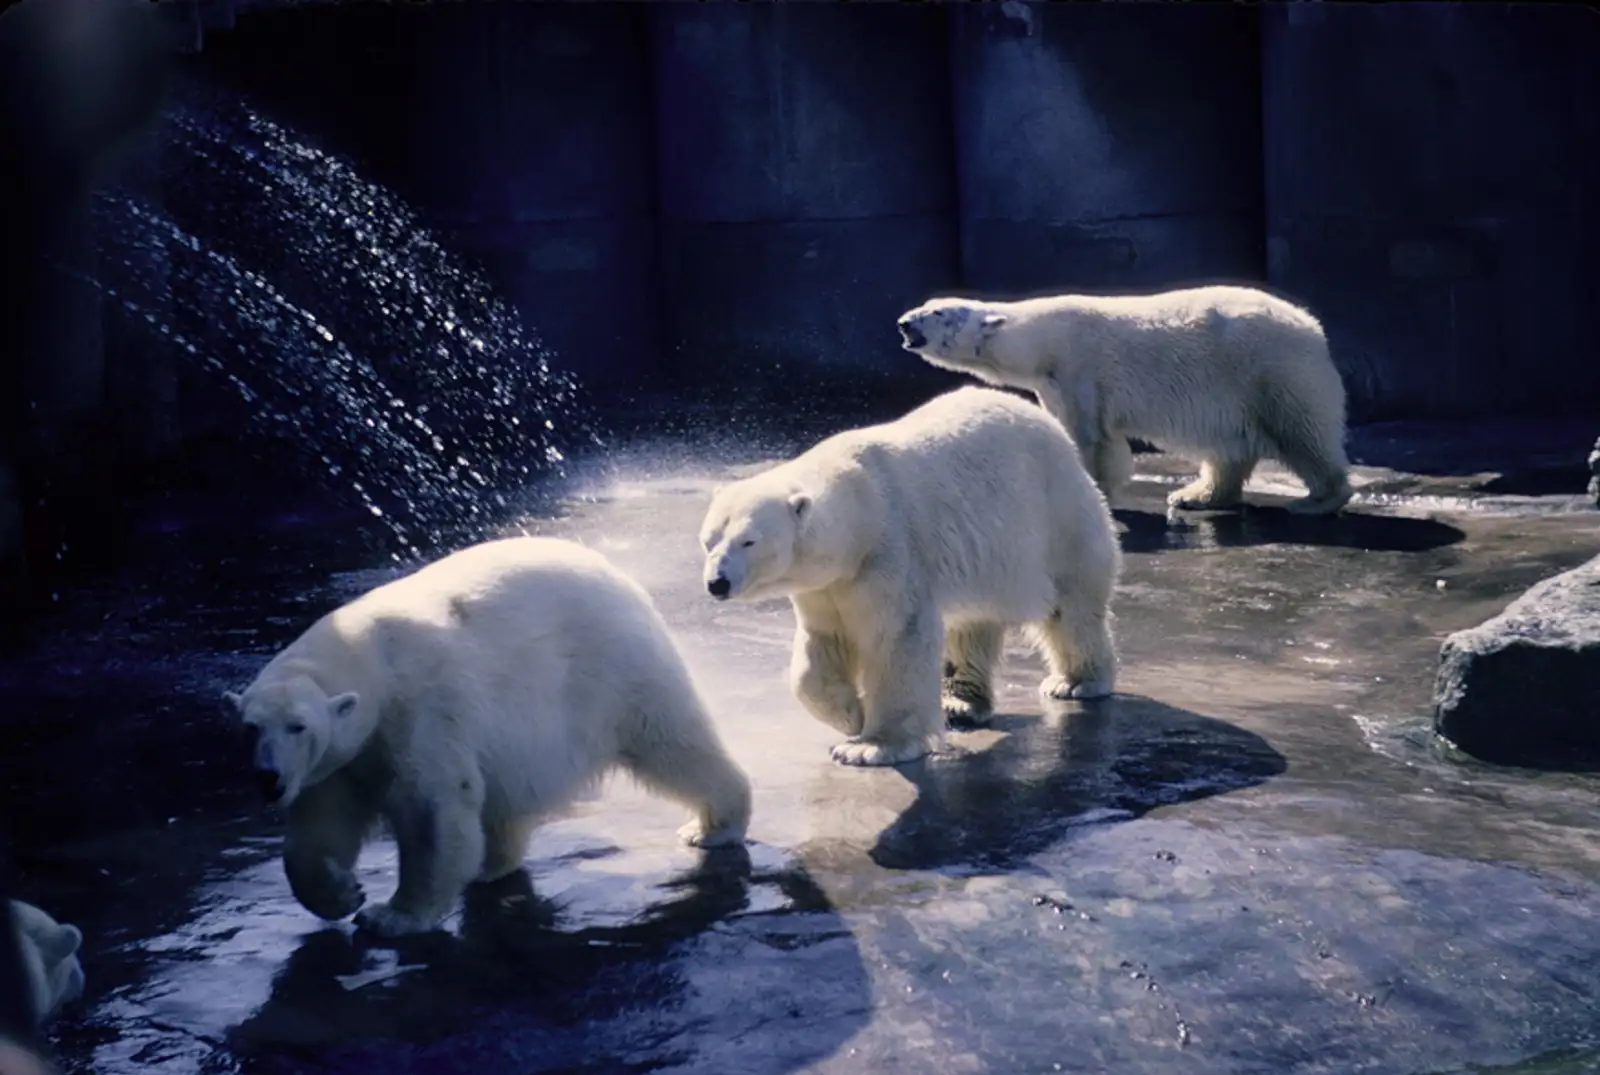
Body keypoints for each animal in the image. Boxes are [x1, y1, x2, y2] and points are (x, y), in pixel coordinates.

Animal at [224, 536, 752, 939]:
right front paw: (342, 894)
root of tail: (615, 572)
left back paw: (712, 826)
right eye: (251, 727)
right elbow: (321, 822)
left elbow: (431, 807)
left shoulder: (420, 711)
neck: (372, 657)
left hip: (613, 668)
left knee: (671, 742)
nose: (268, 779)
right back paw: (490, 863)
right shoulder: (344, 758)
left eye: (299, 726)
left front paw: (391, 916)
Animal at [698, 386, 1122, 768]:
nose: (716, 583)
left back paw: (1075, 682)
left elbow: (897, 637)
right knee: (972, 623)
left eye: (748, 540)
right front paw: (850, 714)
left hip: (1054, 517)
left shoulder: (889, 553)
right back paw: (959, 702)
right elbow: (819, 647)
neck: (860, 509)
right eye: (708, 540)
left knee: (1069, 606)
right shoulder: (827, 585)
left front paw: (869, 747)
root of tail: (1055, 431)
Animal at [897, 284, 1355, 516]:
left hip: (1270, 369)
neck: (1041, 341)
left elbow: (1092, 439)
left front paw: (1095, 493)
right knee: (1226, 448)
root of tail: (1312, 326)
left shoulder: (1079, 368)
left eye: (937, 313)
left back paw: (1317, 500)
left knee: (1302, 432)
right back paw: (1194, 495)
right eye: (928, 304)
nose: (903, 322)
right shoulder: (1053, 384)